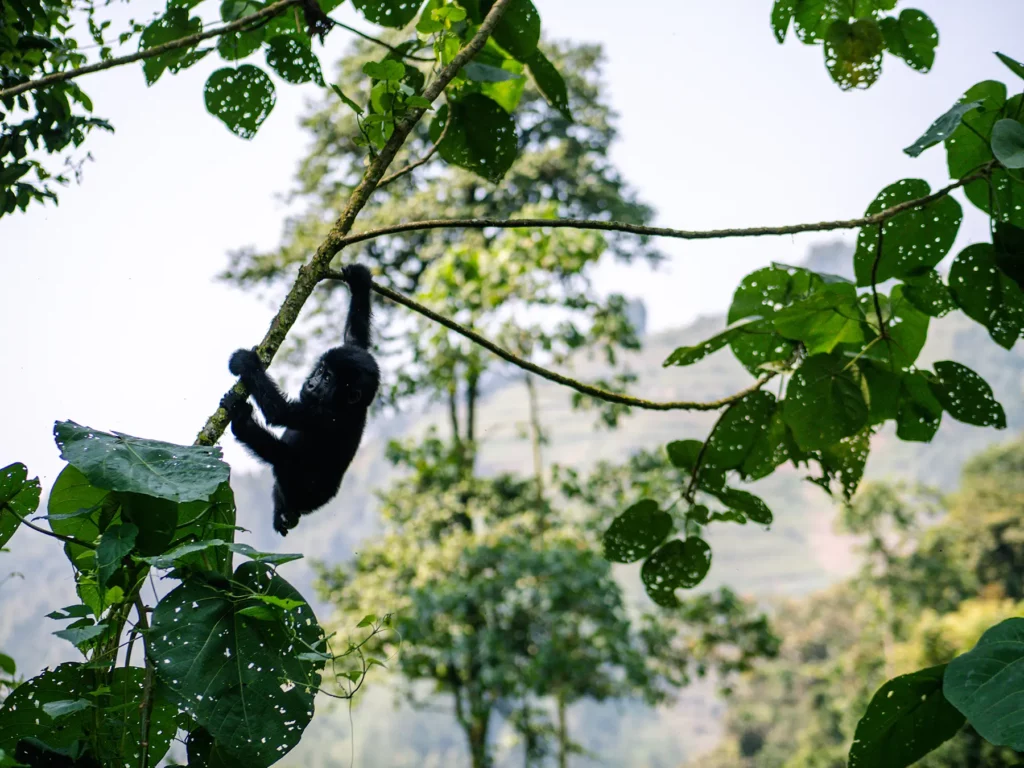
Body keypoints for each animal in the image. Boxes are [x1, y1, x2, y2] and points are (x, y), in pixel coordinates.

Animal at [225, 264, 379, 536]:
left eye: (327, 379)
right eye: (321, 370)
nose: (311, 384)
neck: (346, 405)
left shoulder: (323, 416)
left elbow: (280, 413)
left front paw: (246, 363)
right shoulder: (354, 354)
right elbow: (356, 339)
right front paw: (360, 282)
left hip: (300, 490)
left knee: (281, 457)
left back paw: (242, 422)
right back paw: (283, 516)